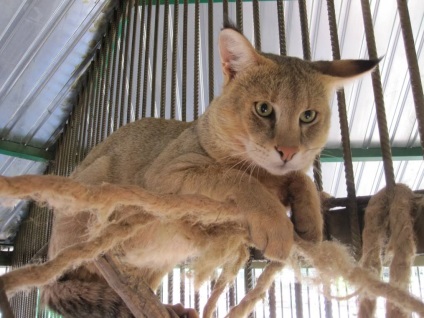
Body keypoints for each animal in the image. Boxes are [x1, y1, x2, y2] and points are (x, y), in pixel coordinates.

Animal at [41, 21, 380, 316]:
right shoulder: (164, 176)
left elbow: (297, 177)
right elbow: (235, 177)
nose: (287, 150)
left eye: (308, 116)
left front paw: (310, 217)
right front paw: (275, 222)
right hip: (94, 186)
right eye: (264, 109)